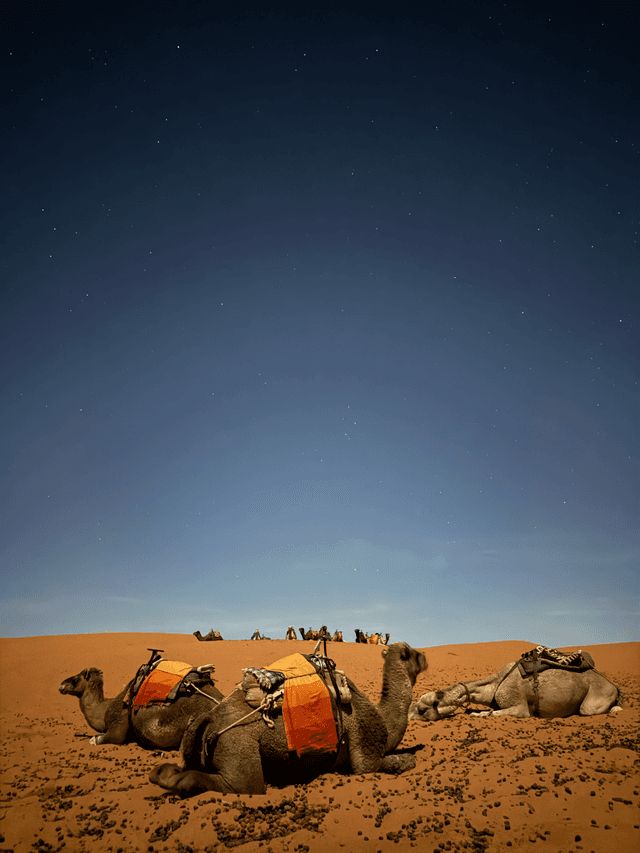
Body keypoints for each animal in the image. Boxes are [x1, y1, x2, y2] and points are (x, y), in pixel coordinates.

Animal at [60, 666, 225, 750]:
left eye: (75, 679)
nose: (61, 685)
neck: (104, 710)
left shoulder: (119, 724)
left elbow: (103, 739)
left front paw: (93, 739)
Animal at [150, 641, 428, 796]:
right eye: (413, 653)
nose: (426, 657)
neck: (382, 718)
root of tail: (208, 719)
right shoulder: (365, 746)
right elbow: (375, 766)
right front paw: (406, 759)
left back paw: (163, 776)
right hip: (235, 743)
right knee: (243, 785)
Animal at [408, 652, 623, 721]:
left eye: (421, 710)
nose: (408, 717)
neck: (494, 685)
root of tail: (612, 684)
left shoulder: (520, 707)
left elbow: (495, 713)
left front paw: (478, 714)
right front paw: (477, 712)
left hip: (594, 698)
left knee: (588, 709)